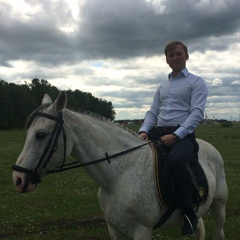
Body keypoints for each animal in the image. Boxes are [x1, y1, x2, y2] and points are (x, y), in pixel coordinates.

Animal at [12, 91, 228, 239]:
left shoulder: (141, 231)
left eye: (41, 135)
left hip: (219, 205)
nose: (18, 179)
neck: (120, 175)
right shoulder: (115, 230)